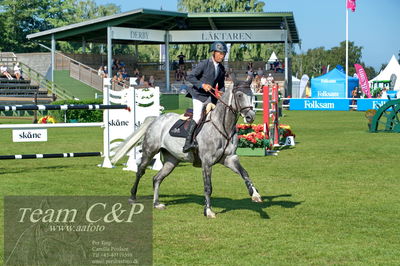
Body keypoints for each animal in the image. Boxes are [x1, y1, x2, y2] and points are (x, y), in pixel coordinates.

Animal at [111, 79, 262, 218]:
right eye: (239, 95)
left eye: (252, 95)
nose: (250, 117)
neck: (223, 126)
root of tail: (156, 119)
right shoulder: (207, 162)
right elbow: (208, 187)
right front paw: (208, 211)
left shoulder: (230, 159)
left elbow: (245, 174)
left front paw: (255, 194)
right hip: (149, 152)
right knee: (140, 171)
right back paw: (133, 196)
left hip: (171, 160)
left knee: (157, 178)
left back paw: (157, 203)